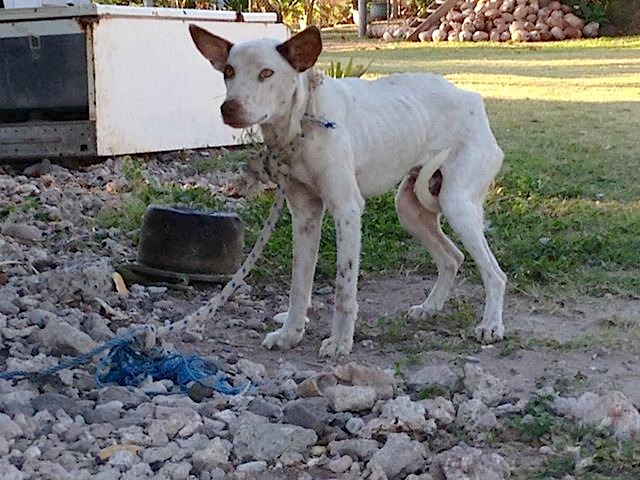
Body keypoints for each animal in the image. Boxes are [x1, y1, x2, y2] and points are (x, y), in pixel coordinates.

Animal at [189, 25, 504, 356]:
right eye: (229, 71)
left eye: (266, 73)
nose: (228, 109)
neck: (303, 123)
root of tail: (471, 98)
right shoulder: (304, 215)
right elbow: (299, 286)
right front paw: (290, 334)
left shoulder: (347, 210)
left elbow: (344, 287)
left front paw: (340, 342)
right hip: (409, 209)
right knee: (452, 258)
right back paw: (430, 307)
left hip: (457, 204)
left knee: (495, 274)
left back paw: (491, 326)